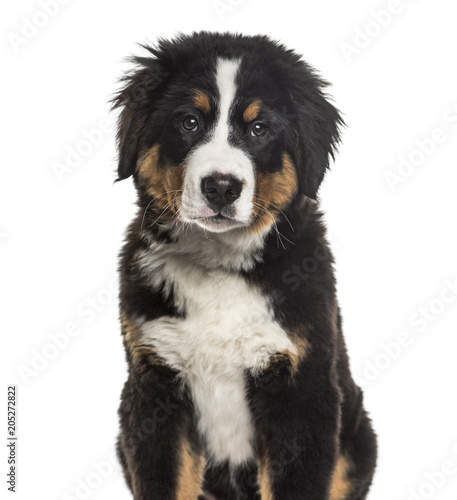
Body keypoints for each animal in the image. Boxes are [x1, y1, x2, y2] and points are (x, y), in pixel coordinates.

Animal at [112, 32, 376, 500]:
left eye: (258, 128)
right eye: (189, 122)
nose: (220, 186)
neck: (219, 266)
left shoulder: (301, 391)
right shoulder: (154, 386)